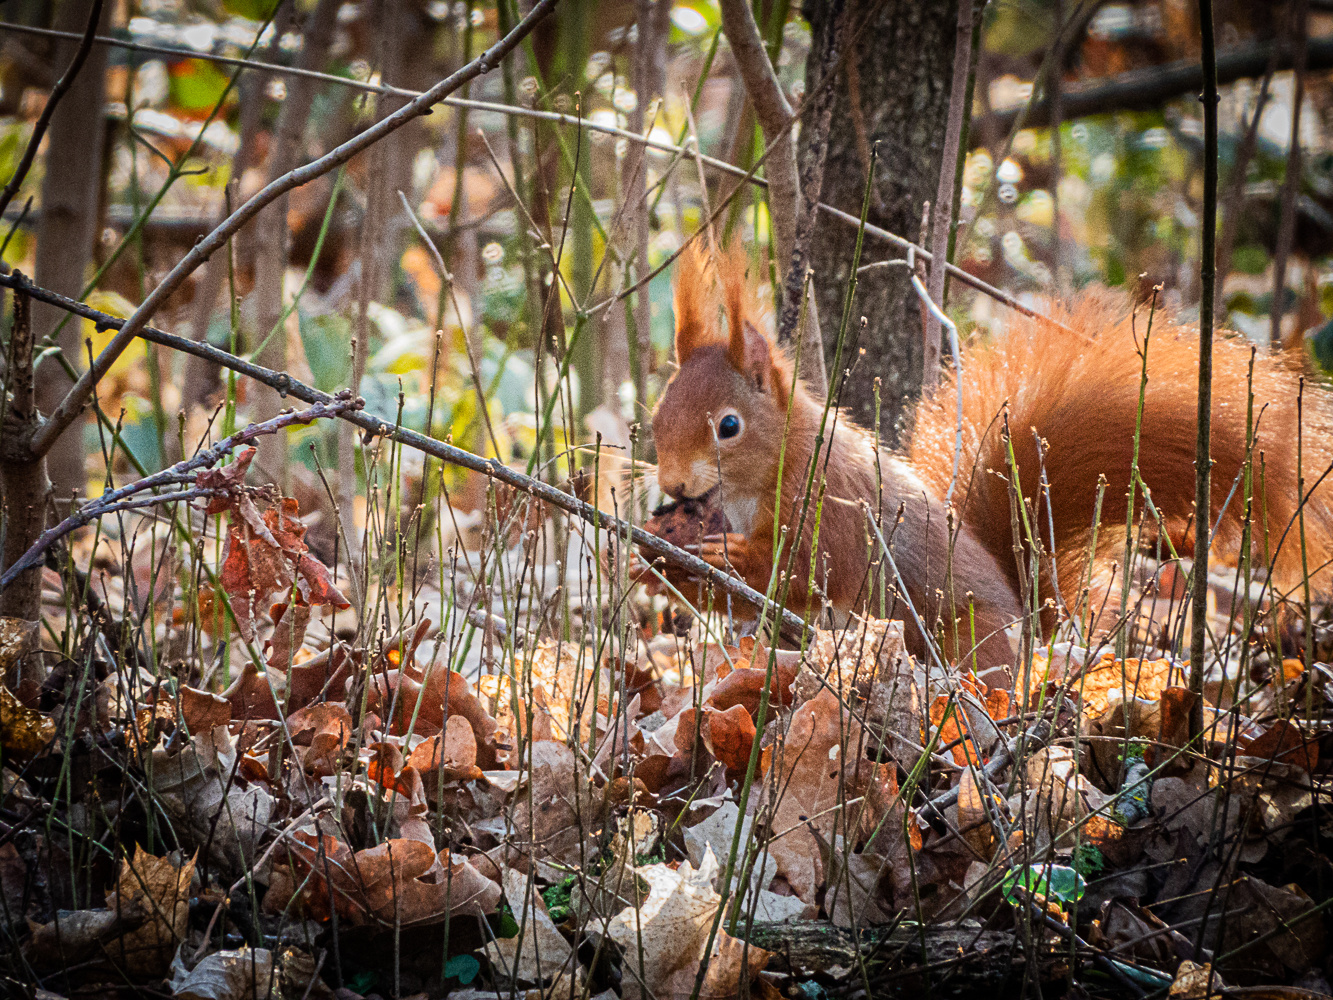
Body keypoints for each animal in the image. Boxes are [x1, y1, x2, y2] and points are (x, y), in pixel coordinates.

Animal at [642, 244, 1333, 688]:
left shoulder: (832, 503)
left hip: (962, 640)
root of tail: (1027, 626)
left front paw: (730, 557)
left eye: (728, 426)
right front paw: (658, 563)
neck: (760, 478)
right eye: (657, 412)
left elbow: (807, 568)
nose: (673, 483)